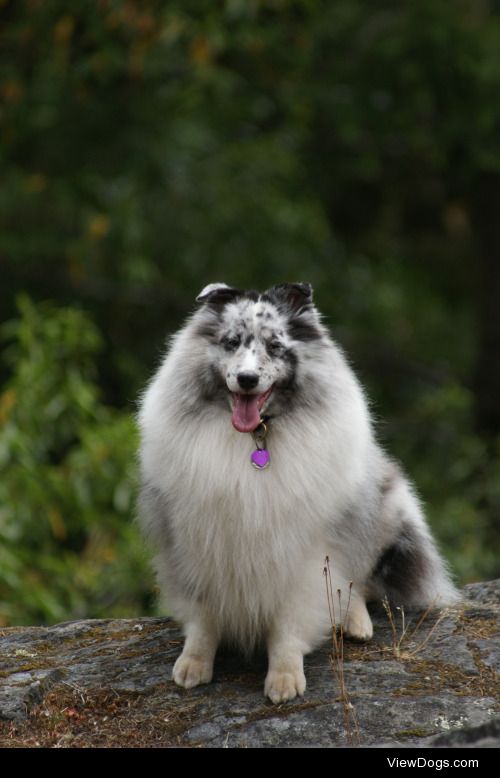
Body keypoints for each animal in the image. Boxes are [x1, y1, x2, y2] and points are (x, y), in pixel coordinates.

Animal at [139, 282, 458, 700]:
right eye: (232, 342)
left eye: (275, 346)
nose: (246, 379)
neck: (255, 438)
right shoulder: (197, 541)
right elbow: (205, 617)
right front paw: (194, 665)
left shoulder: (301, 552)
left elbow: (288, 624)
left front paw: (284, 678)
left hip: (381, 511)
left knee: (360, 582)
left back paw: (354, 622)